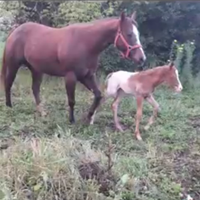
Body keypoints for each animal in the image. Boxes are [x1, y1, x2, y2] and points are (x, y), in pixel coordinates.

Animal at [0, 11, 146, 123]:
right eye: (129, 34)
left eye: (138, 34)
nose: (142, 58)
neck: (86, 43)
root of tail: (15, 31)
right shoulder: (71, 76)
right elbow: (71, 100)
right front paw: (71, 120)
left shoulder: (87, 76)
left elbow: (98, 95)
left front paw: (89, 116)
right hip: (13, 65)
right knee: (8, 84)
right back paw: (9, 106)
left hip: (36, 69)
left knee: (35, 89)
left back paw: (42, 112)